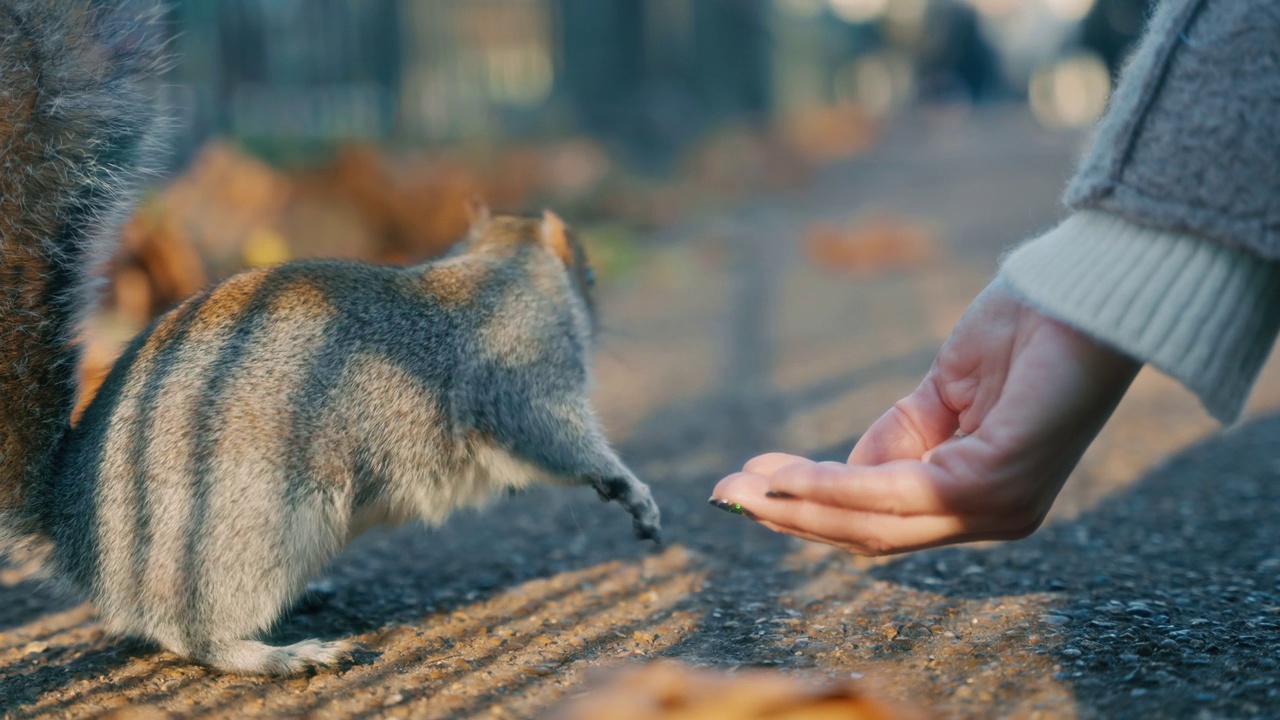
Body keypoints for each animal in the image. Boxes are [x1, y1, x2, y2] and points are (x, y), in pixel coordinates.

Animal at [0, 0, 660, 676]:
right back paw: (280, 655)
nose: (598, 304)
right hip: (250, 524)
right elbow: (558, 440)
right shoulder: (523, 376)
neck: (496, 271)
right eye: (590, 274)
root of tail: (74, 533)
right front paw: (630, 489)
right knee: (187, 633)